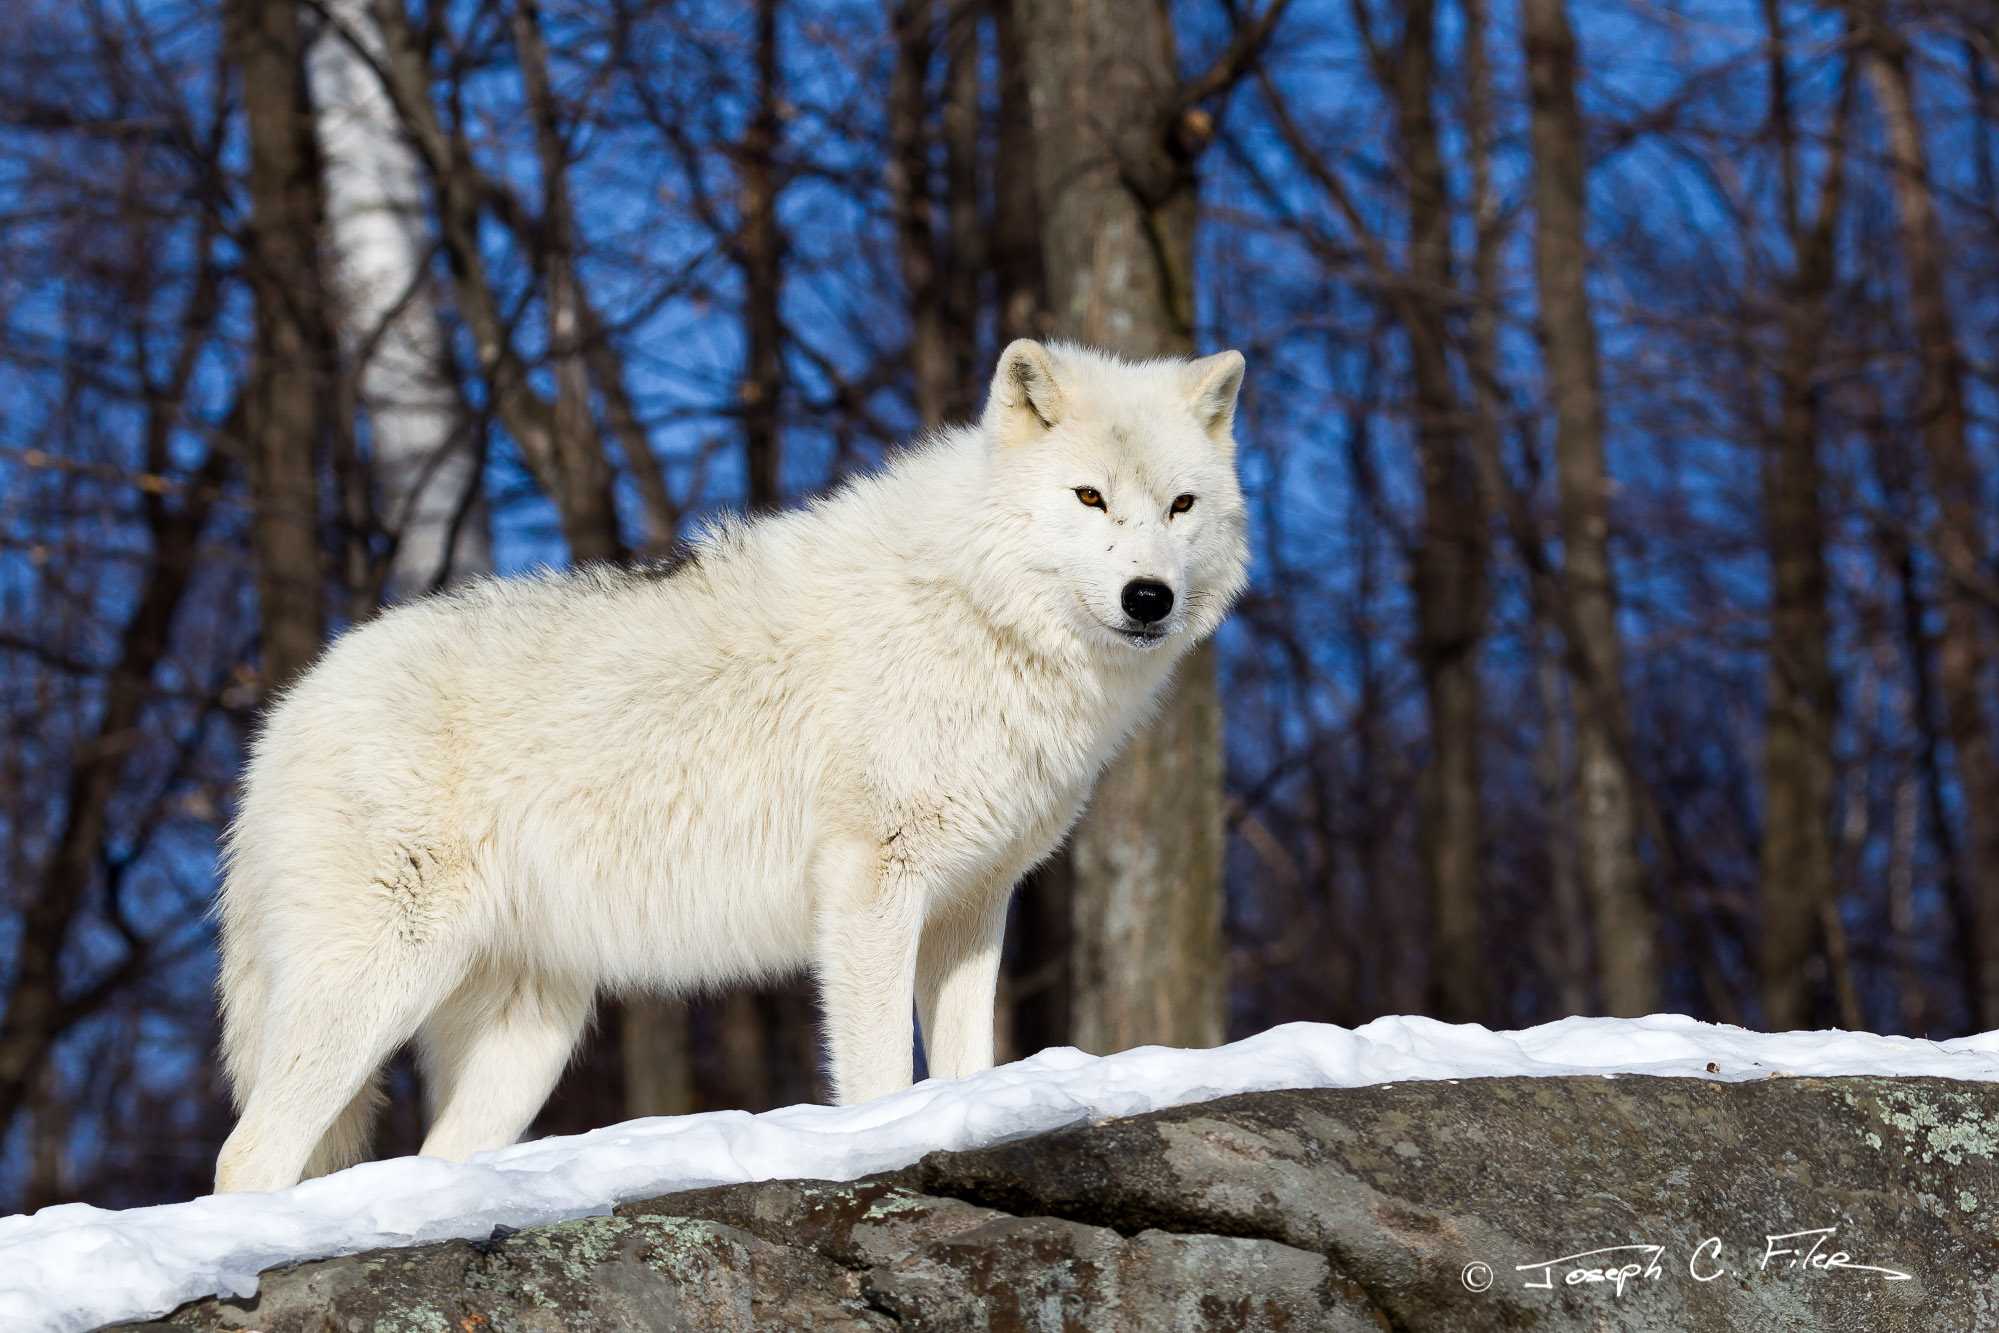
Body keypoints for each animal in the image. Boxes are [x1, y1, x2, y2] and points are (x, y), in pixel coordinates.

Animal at [210, 339, 1239, 1191]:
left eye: (1181, 505)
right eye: (1089, 497)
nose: (1148, 597)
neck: (979, 616)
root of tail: (287, 711)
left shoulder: (973, 903)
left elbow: (963, 1065)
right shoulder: (871, 881)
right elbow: (879, 1071)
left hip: (528, 1040)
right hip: (376, 983)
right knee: (247, 1154)